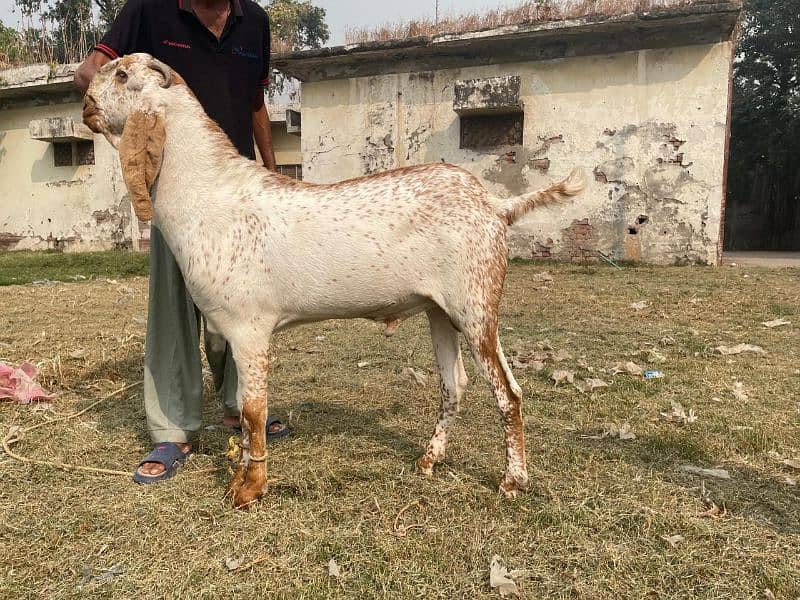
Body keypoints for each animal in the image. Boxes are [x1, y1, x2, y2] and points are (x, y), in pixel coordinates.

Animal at [83, 54, 588, 508]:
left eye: (123, 74)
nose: (85, 100)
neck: (209, 193)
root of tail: (495, 205)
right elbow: (245, 412)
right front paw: (242, 477)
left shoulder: (249, 329)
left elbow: (252, 411)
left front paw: (248, 489)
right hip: (441, 311)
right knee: (454, 384)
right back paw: (430, 459)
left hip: (476, 305)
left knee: (508, 392)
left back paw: (513, 480)